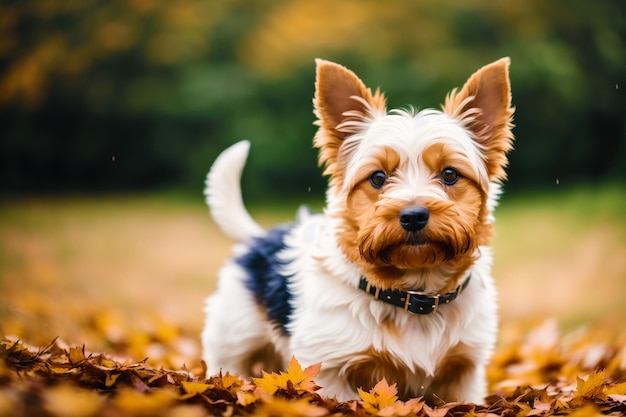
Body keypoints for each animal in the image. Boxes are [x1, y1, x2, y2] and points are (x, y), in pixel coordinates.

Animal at [200, 57, 512, 402]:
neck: (414, 292)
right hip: (233, 338)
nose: (413, 216)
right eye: (377, 177)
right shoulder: (330, 368)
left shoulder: (465, 372)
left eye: (450, 174)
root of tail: (261, 237)